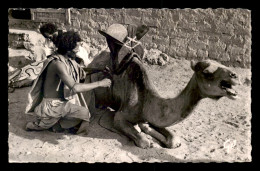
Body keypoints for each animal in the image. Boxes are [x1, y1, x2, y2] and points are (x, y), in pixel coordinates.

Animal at [84, 24, 240, 148]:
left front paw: (156, 134)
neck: (145, 101)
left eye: (222, 64)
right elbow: (144, 142)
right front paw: (145, 135)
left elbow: (173, 139)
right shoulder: (120, 116)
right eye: (207, 72)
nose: (235, 76)